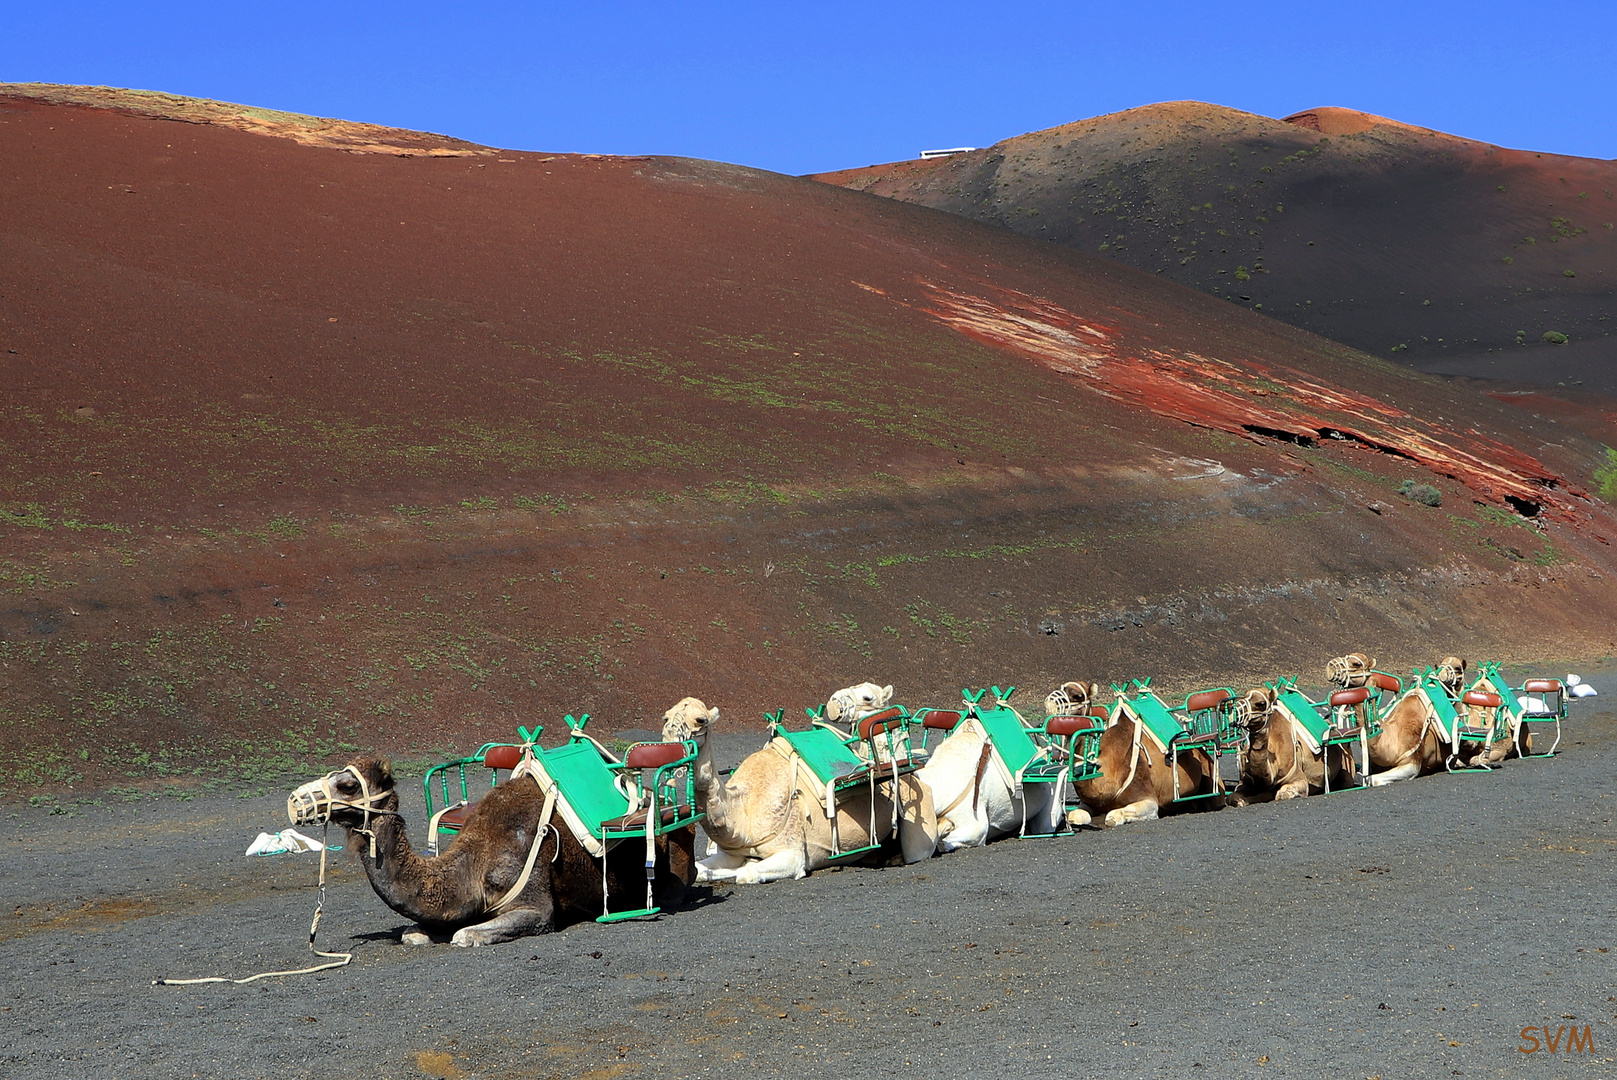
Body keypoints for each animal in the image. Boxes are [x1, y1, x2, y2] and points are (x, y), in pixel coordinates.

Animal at [653, 691, 937, 885]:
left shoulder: (792, 854)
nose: (670, 745)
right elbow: (703, 870)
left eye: (700, 719)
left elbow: (746, 872)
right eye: (665, 717)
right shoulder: (732, 850)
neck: (743, 811)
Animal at [1041, 682, 1215, 827]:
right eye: (1062, 687)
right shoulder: (1090, 802)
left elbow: (1112, 816)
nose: (1049, 703)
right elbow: (1076, 815)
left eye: (1077, 695)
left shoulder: (1148, 799)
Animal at [1228, 691, 1358, 801]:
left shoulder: (1298, 778)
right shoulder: (1245, 781)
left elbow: (1282, 794)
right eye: (1242, 698)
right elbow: (1234, 798)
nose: (1233, 715)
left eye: (1261, 703)